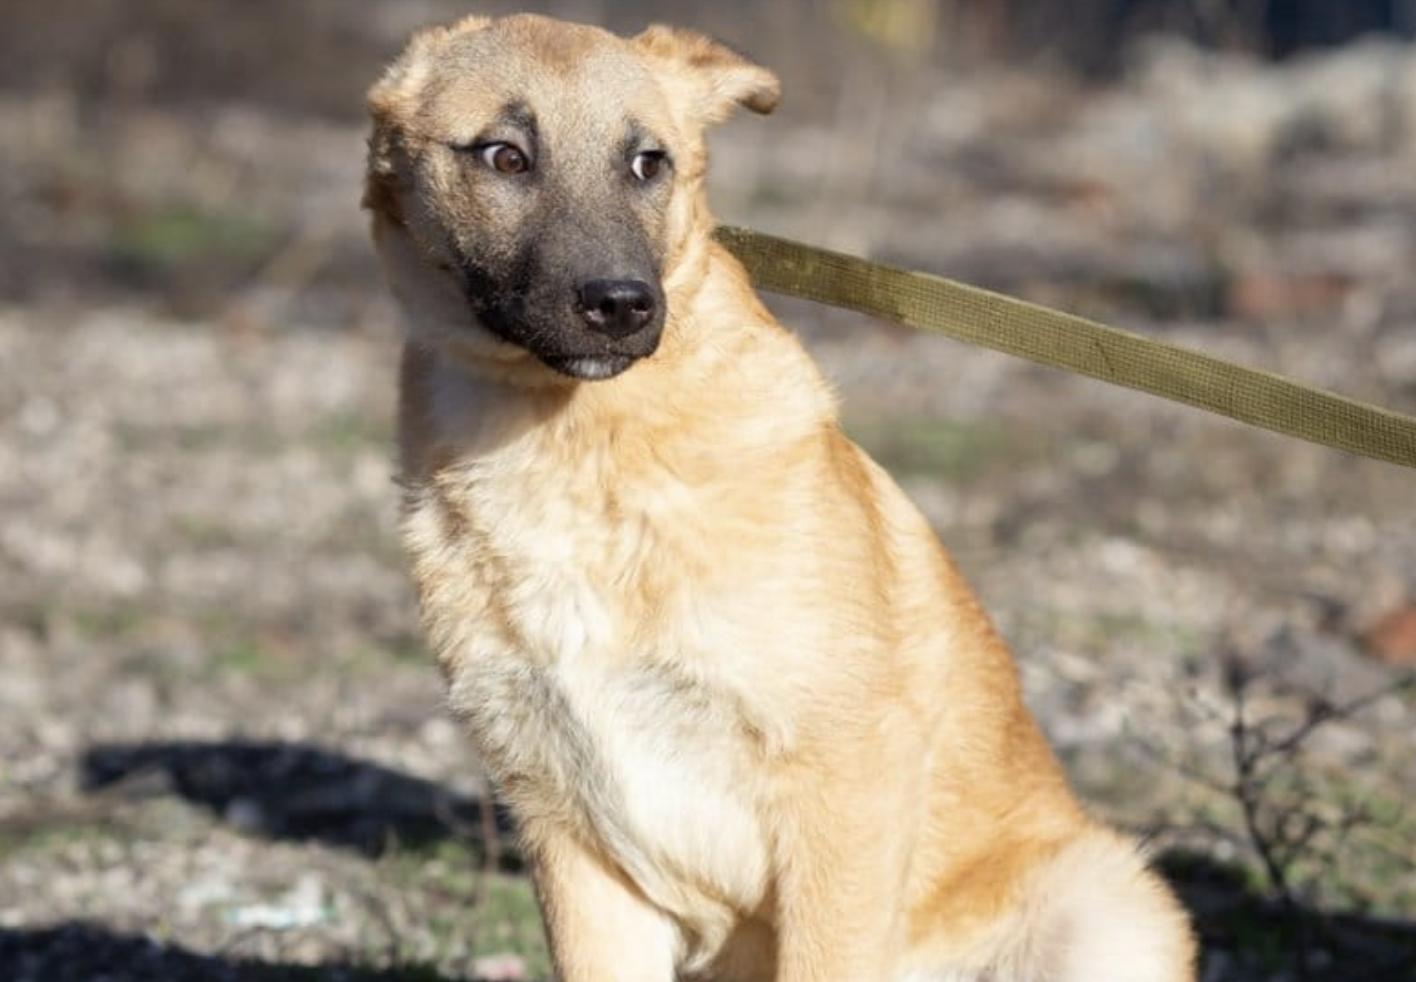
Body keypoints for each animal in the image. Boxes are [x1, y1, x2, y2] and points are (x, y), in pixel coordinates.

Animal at [365, 11, 1195, 979]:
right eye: (503, 156)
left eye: (648, 162)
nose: (623, 306)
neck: (578, 450)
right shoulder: (570, 835)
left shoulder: (843, 782)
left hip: (1106, 904)